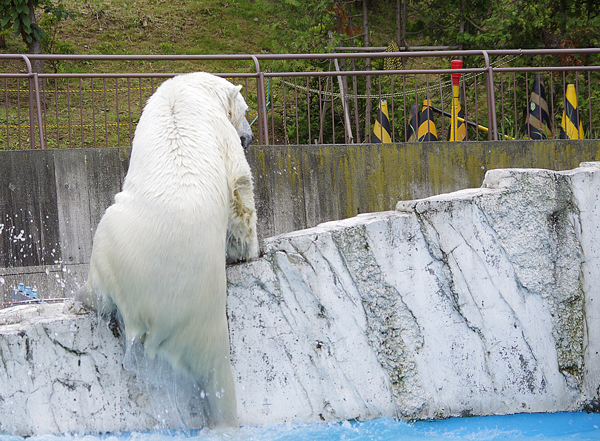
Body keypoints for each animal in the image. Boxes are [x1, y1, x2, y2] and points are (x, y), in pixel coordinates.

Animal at [75, 72, 258, 426]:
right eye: (245, 109)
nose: (249, 137)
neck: (186, 89)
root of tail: (151, 316)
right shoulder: (221, 133)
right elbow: (239, 185)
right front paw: (248, 251)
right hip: (196, 305)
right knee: (213, 363)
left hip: (114, 243)